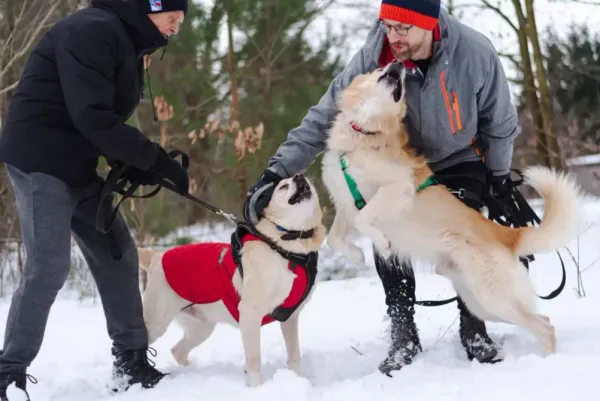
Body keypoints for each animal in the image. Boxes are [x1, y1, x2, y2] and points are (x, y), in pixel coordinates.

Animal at [138, 173, 326, 386]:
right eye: (283, 186)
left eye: (303, 178)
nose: (299, 176)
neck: (286, 249)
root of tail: (156, 257)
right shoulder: (250, 314)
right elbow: (254, 361)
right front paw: (256, 388)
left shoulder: (290, 317)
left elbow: (294, 355)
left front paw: (298, 379)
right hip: (156, 323)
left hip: (202, 326)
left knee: (178, 351)